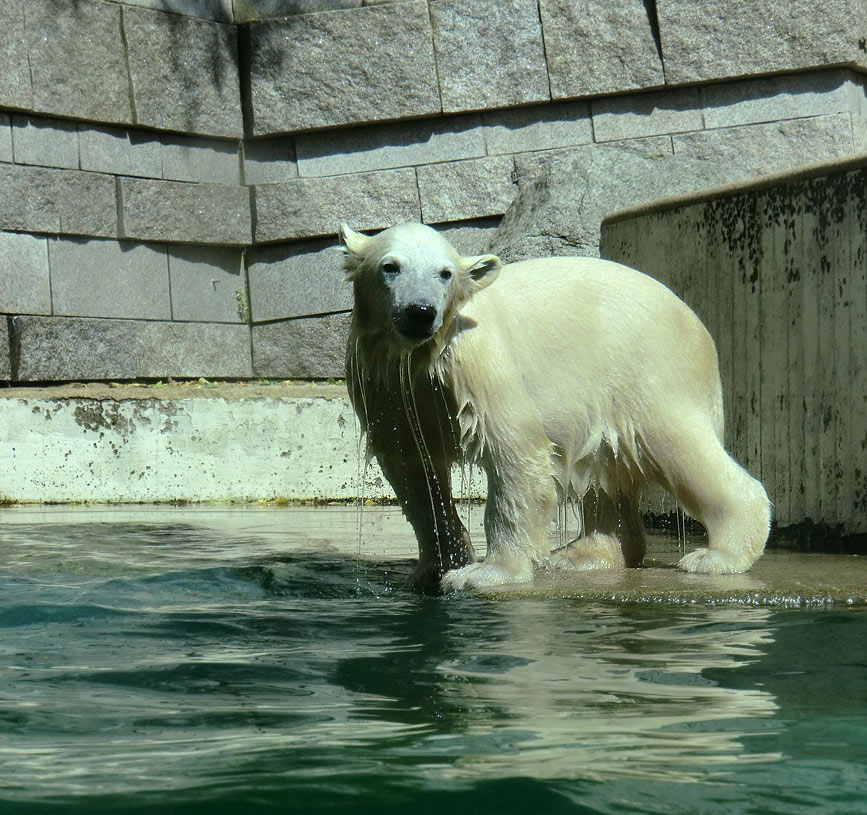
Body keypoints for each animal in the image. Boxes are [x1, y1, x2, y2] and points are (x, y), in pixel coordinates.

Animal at [340, 223, 772, 592]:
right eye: (390, 266)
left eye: (444, 273)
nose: (420, 311)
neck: (422, 354)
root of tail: (699, 328)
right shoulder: (388, 384)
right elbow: (412, 468)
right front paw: (434, 569)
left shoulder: (479, 363)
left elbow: (514, 451)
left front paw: (485, 573)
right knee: (606, 467)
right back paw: (582, 554)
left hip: (647, 369)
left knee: (677, 448)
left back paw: (718, 556)